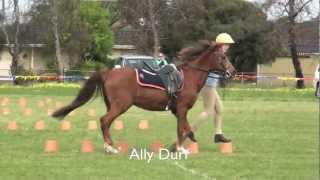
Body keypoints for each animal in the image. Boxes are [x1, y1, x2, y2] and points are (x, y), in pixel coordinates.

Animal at [52, 40, 236, 153]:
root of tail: (108, 73)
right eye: (222, 57)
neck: (188, 78)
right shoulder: (182, 108)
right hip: (121, 105)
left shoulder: (177, 110)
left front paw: (180, 144)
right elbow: (182, 128)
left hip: (112, 105)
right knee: (104, 121)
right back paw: (111, 147)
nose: (232, 72)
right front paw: (179, 148)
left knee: (106, 123)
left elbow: (184, 127)